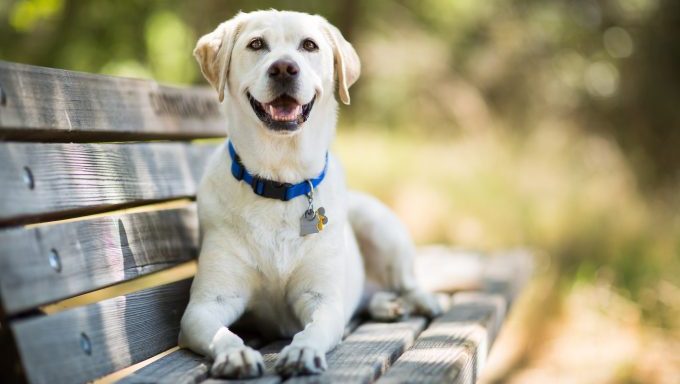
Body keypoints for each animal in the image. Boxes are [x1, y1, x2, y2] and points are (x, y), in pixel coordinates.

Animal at [178, 9, 440, 378]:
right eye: (256, 44)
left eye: (309, 45)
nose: (284, 68)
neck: (280, 182)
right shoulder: (205, 306)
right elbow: (222, 333)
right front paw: (236, 353)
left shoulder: (322, 300)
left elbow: (313, 328)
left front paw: (302, 351)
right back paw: (385, 304)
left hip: (379, 224)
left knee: (406, 280)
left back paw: (422, 301)